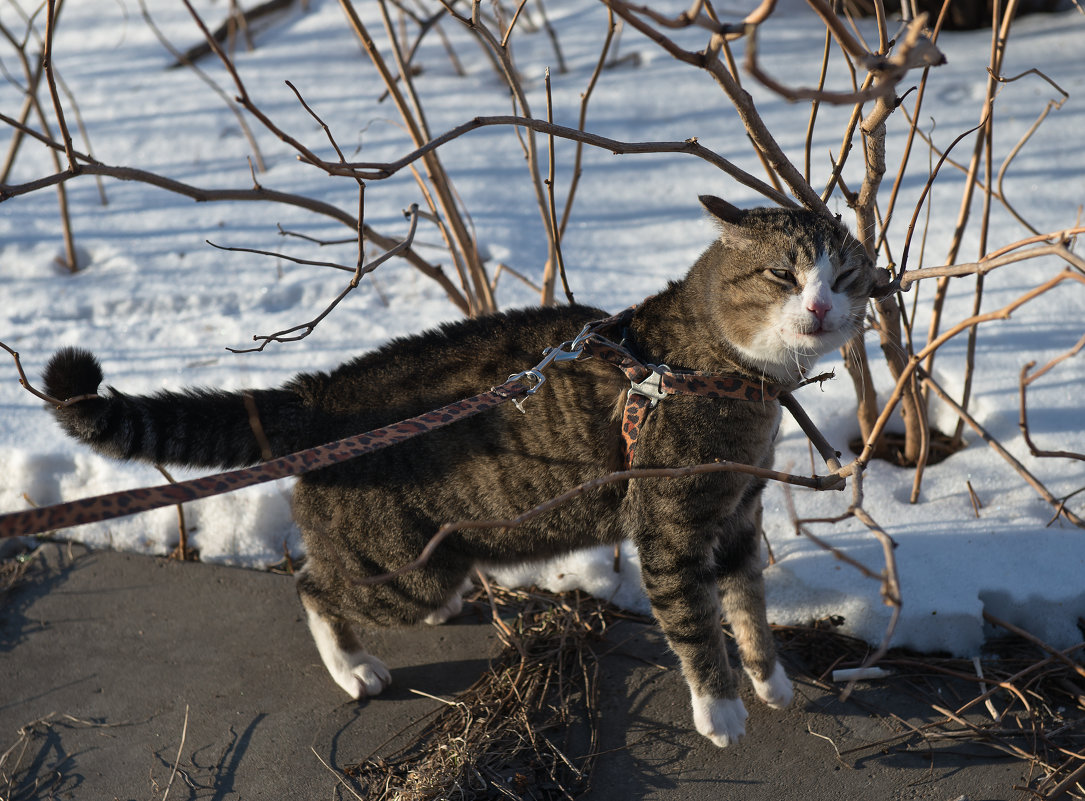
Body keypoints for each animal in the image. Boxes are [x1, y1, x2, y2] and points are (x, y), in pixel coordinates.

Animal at [42, 196, 876, 746]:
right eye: (782, 274)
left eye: (848, 278)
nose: (819, 309)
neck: (724, 377)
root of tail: (323, 391)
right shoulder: (673, 526)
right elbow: (696, 620)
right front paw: (720, 707)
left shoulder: (737, 515)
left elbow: (748, 604)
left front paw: (770, 680)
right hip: (399, 569)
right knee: (312, 585)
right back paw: (353, 665)